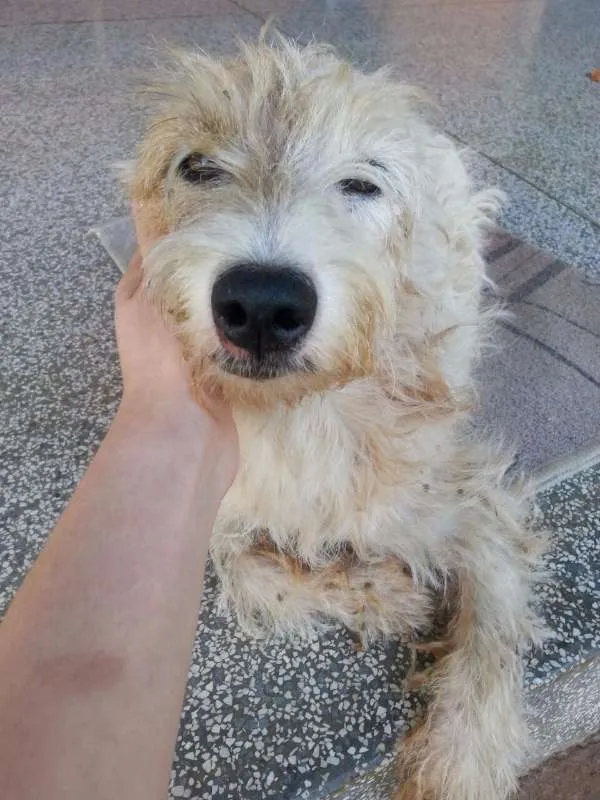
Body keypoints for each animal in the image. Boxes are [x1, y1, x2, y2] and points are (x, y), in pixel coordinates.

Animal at [127, 34, 544, 800]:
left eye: (362, 184)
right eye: (196, 165)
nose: (262, 304)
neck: (301, 416)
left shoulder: (464, 495)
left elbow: (493, 624)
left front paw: (461, 758)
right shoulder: (224, 503)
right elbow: (251, 572)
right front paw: (387, 596)